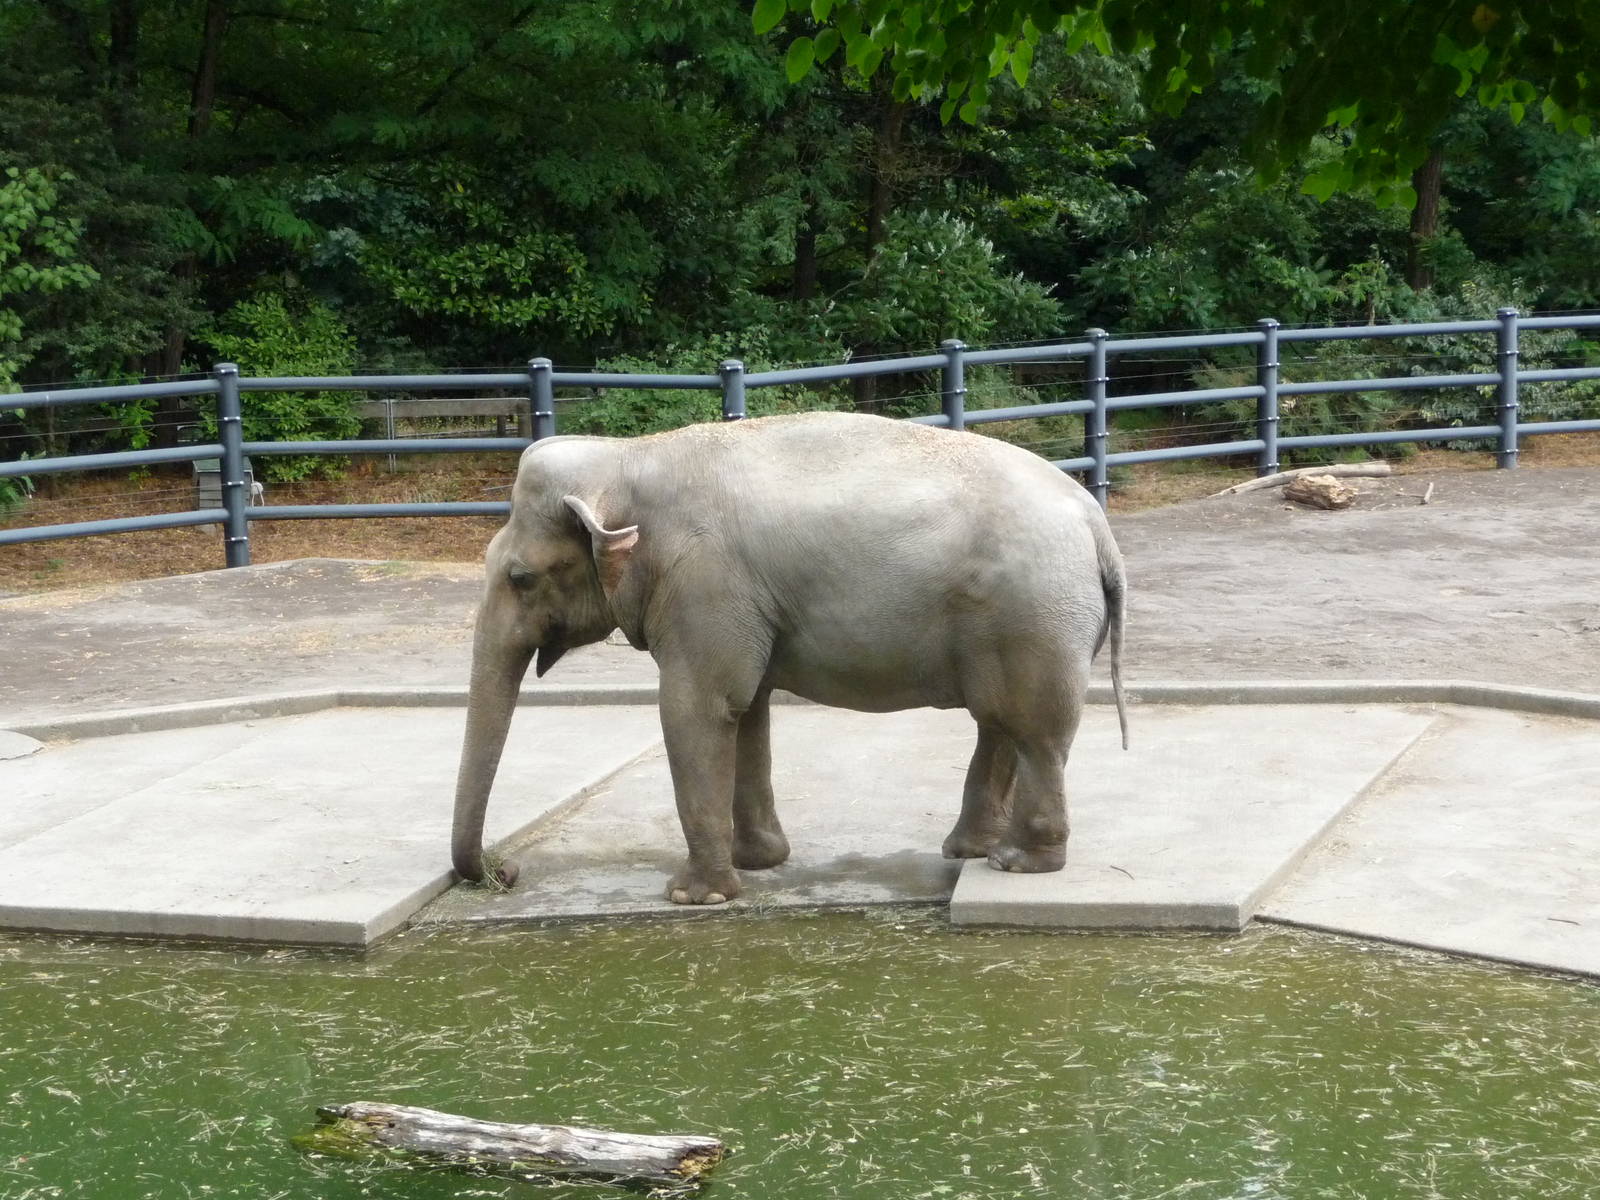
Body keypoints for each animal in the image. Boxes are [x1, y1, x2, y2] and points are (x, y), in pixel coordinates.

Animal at [451, 410, 1128, 904]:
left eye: (520, 577)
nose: (504, 871)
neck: (626, 456)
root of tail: (1097, 526)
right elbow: (747, 708)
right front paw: (759, 863)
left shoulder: (704, 581)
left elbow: (696, 708)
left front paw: (695, 897)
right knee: (1000, 724)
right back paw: (969, 852)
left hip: (1035, 615)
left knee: (1034, 731)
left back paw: (1019, 863)